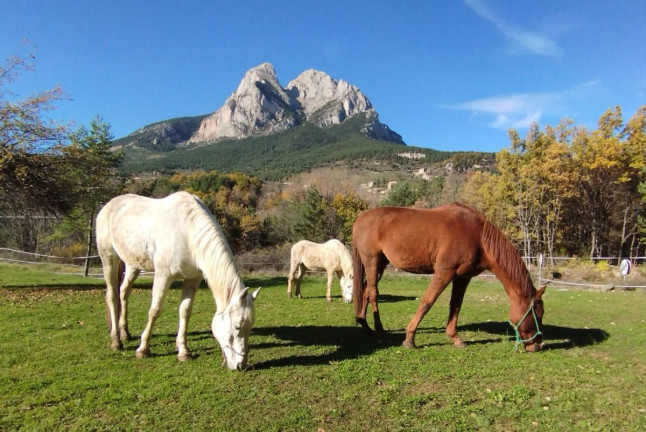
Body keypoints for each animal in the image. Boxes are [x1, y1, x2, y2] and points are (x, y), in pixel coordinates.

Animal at [96, 191, 260, 370]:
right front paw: (143, 349)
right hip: (109, 259)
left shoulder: (192, 279)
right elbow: (155, 311)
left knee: (124, 293)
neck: (187, 233)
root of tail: (108, 205)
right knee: (112, 296)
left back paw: (125, 333)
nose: (241, 365)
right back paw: (116, 341)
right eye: (237, 326)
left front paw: (183, 351)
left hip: (133, 265)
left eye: (250, 326)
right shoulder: (163, 276)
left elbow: (185, 312)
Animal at [352, 203, 546, 352]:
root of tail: (360, 219)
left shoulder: (462, 277)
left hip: (380, 264)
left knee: (366, 292)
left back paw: (365, 326)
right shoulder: (444, 271)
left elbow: (456, 305)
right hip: (372, 261)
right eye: (538, 314)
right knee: (373, 293)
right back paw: (380, 331)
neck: (478, 237)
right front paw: (410, 339)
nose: (537, 346)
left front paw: (455, 338)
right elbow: (427, 302)